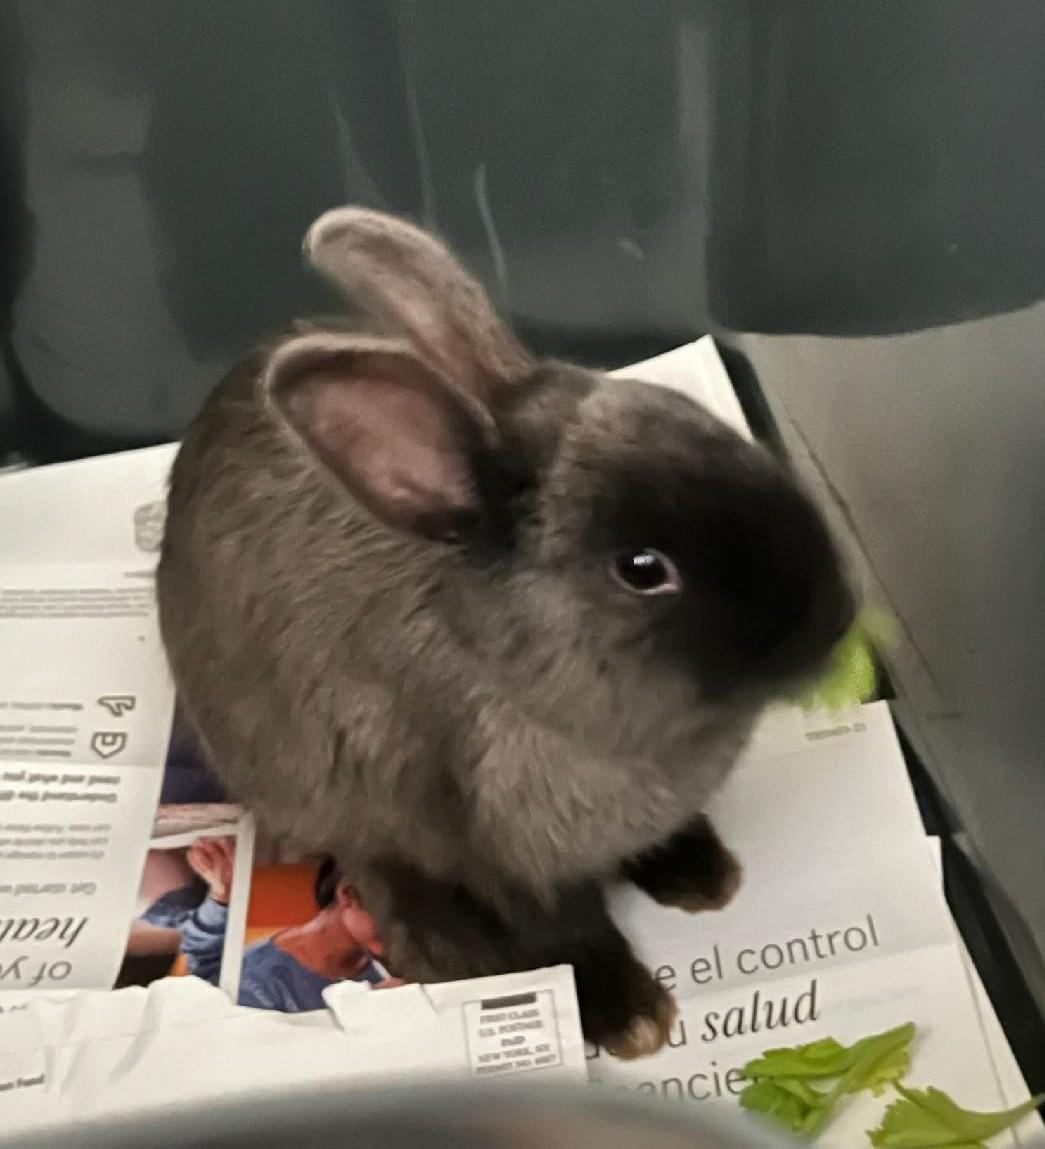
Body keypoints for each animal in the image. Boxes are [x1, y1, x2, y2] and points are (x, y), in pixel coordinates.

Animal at [156, 207, 854, 1058]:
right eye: (642, 568)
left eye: (717, 430)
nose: (833, 620)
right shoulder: (503, 855)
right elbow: (566, 932)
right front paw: (631, 1017)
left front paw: (704, 876)